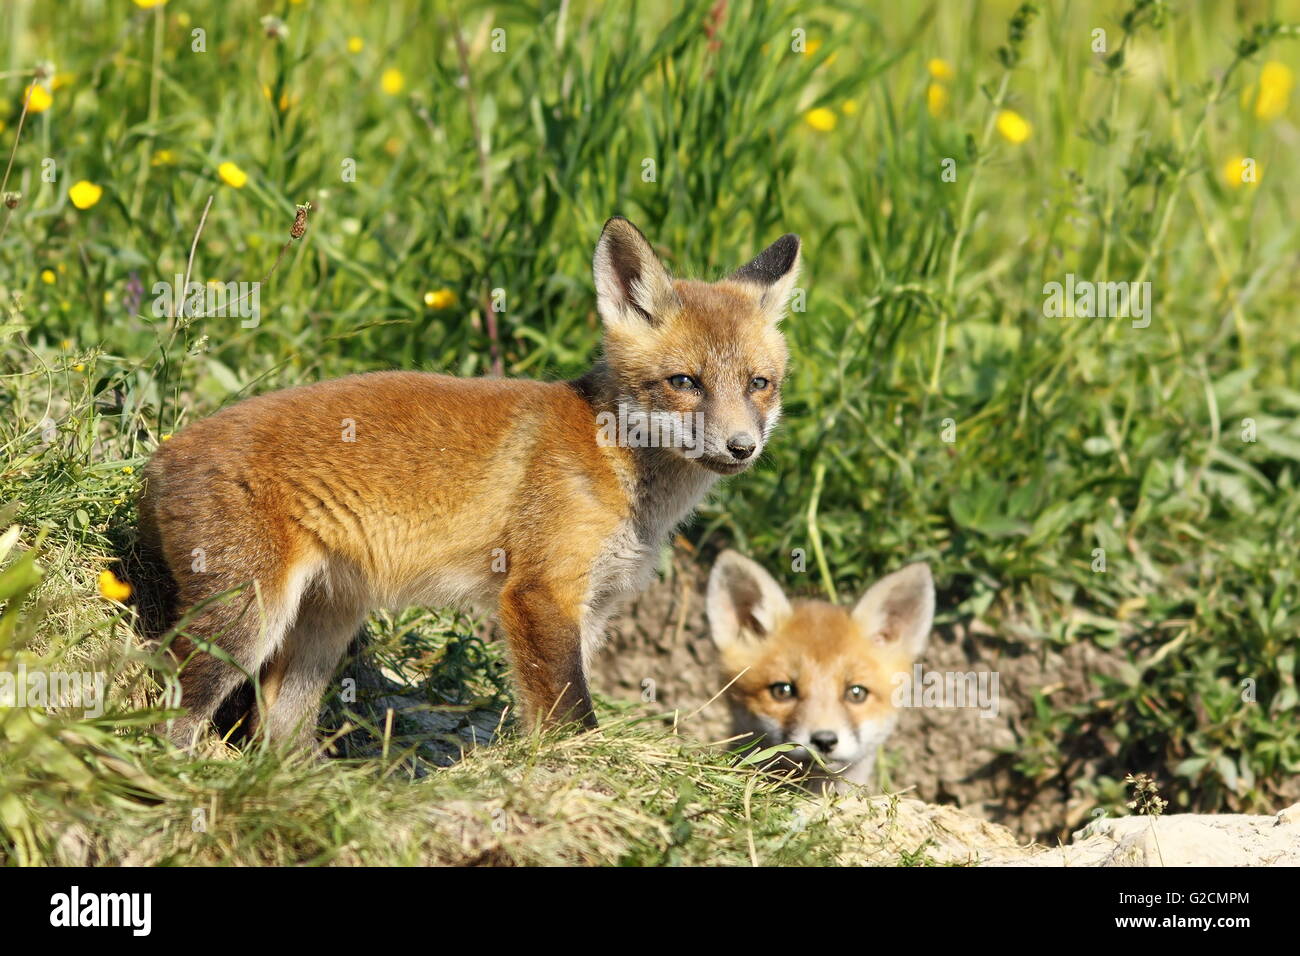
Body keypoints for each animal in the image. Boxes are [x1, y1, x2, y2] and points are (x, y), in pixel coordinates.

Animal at [136, 217, 801, 750]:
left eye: (759, 384)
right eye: (686, 382)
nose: (742, 448)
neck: (617, 463)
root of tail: (159, 455)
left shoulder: (592, 607)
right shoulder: (539, 591)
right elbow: (571, 716)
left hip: (321, 627)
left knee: (274, 726)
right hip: (245, 621)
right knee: (170, 701)